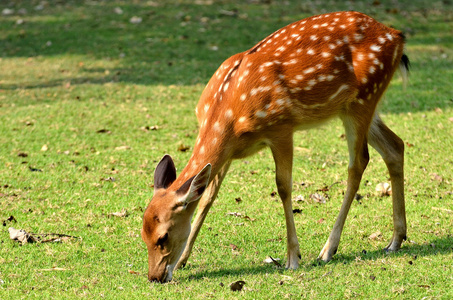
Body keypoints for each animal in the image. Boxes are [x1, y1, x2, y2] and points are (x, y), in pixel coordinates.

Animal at [140, 11, 406, 282]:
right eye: (143, 234)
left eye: (163, 237)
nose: (154, 276)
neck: (229, 117)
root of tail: (396, 36)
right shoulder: (228, 152)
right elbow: (208, 197)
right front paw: (183, 260)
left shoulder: (282, 128)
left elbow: (284, 187)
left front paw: (292, 258)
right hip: (358, 106)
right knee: (395, 146)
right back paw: (395, 240)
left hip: (363, 98)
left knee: (359, 162)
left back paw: (328, 250)